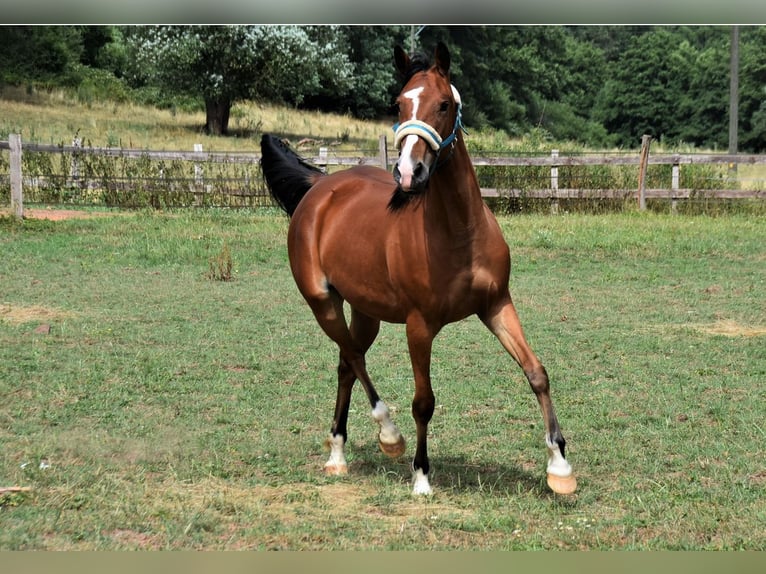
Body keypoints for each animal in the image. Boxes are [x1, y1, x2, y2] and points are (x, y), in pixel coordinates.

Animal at [259, 42, 576, 496]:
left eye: (444, 104)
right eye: (398, 104)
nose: (410, 172)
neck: (459, 232)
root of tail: (320, 188)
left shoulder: (497, 304)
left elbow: (536, 372)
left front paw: (560, 466)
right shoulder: (419, 325)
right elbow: (423, 401)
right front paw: (421, 477)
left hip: (366, 310)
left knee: (346, 363)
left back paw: (338, 454)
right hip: (322, 301)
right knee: (354, 358)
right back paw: (388, 435)